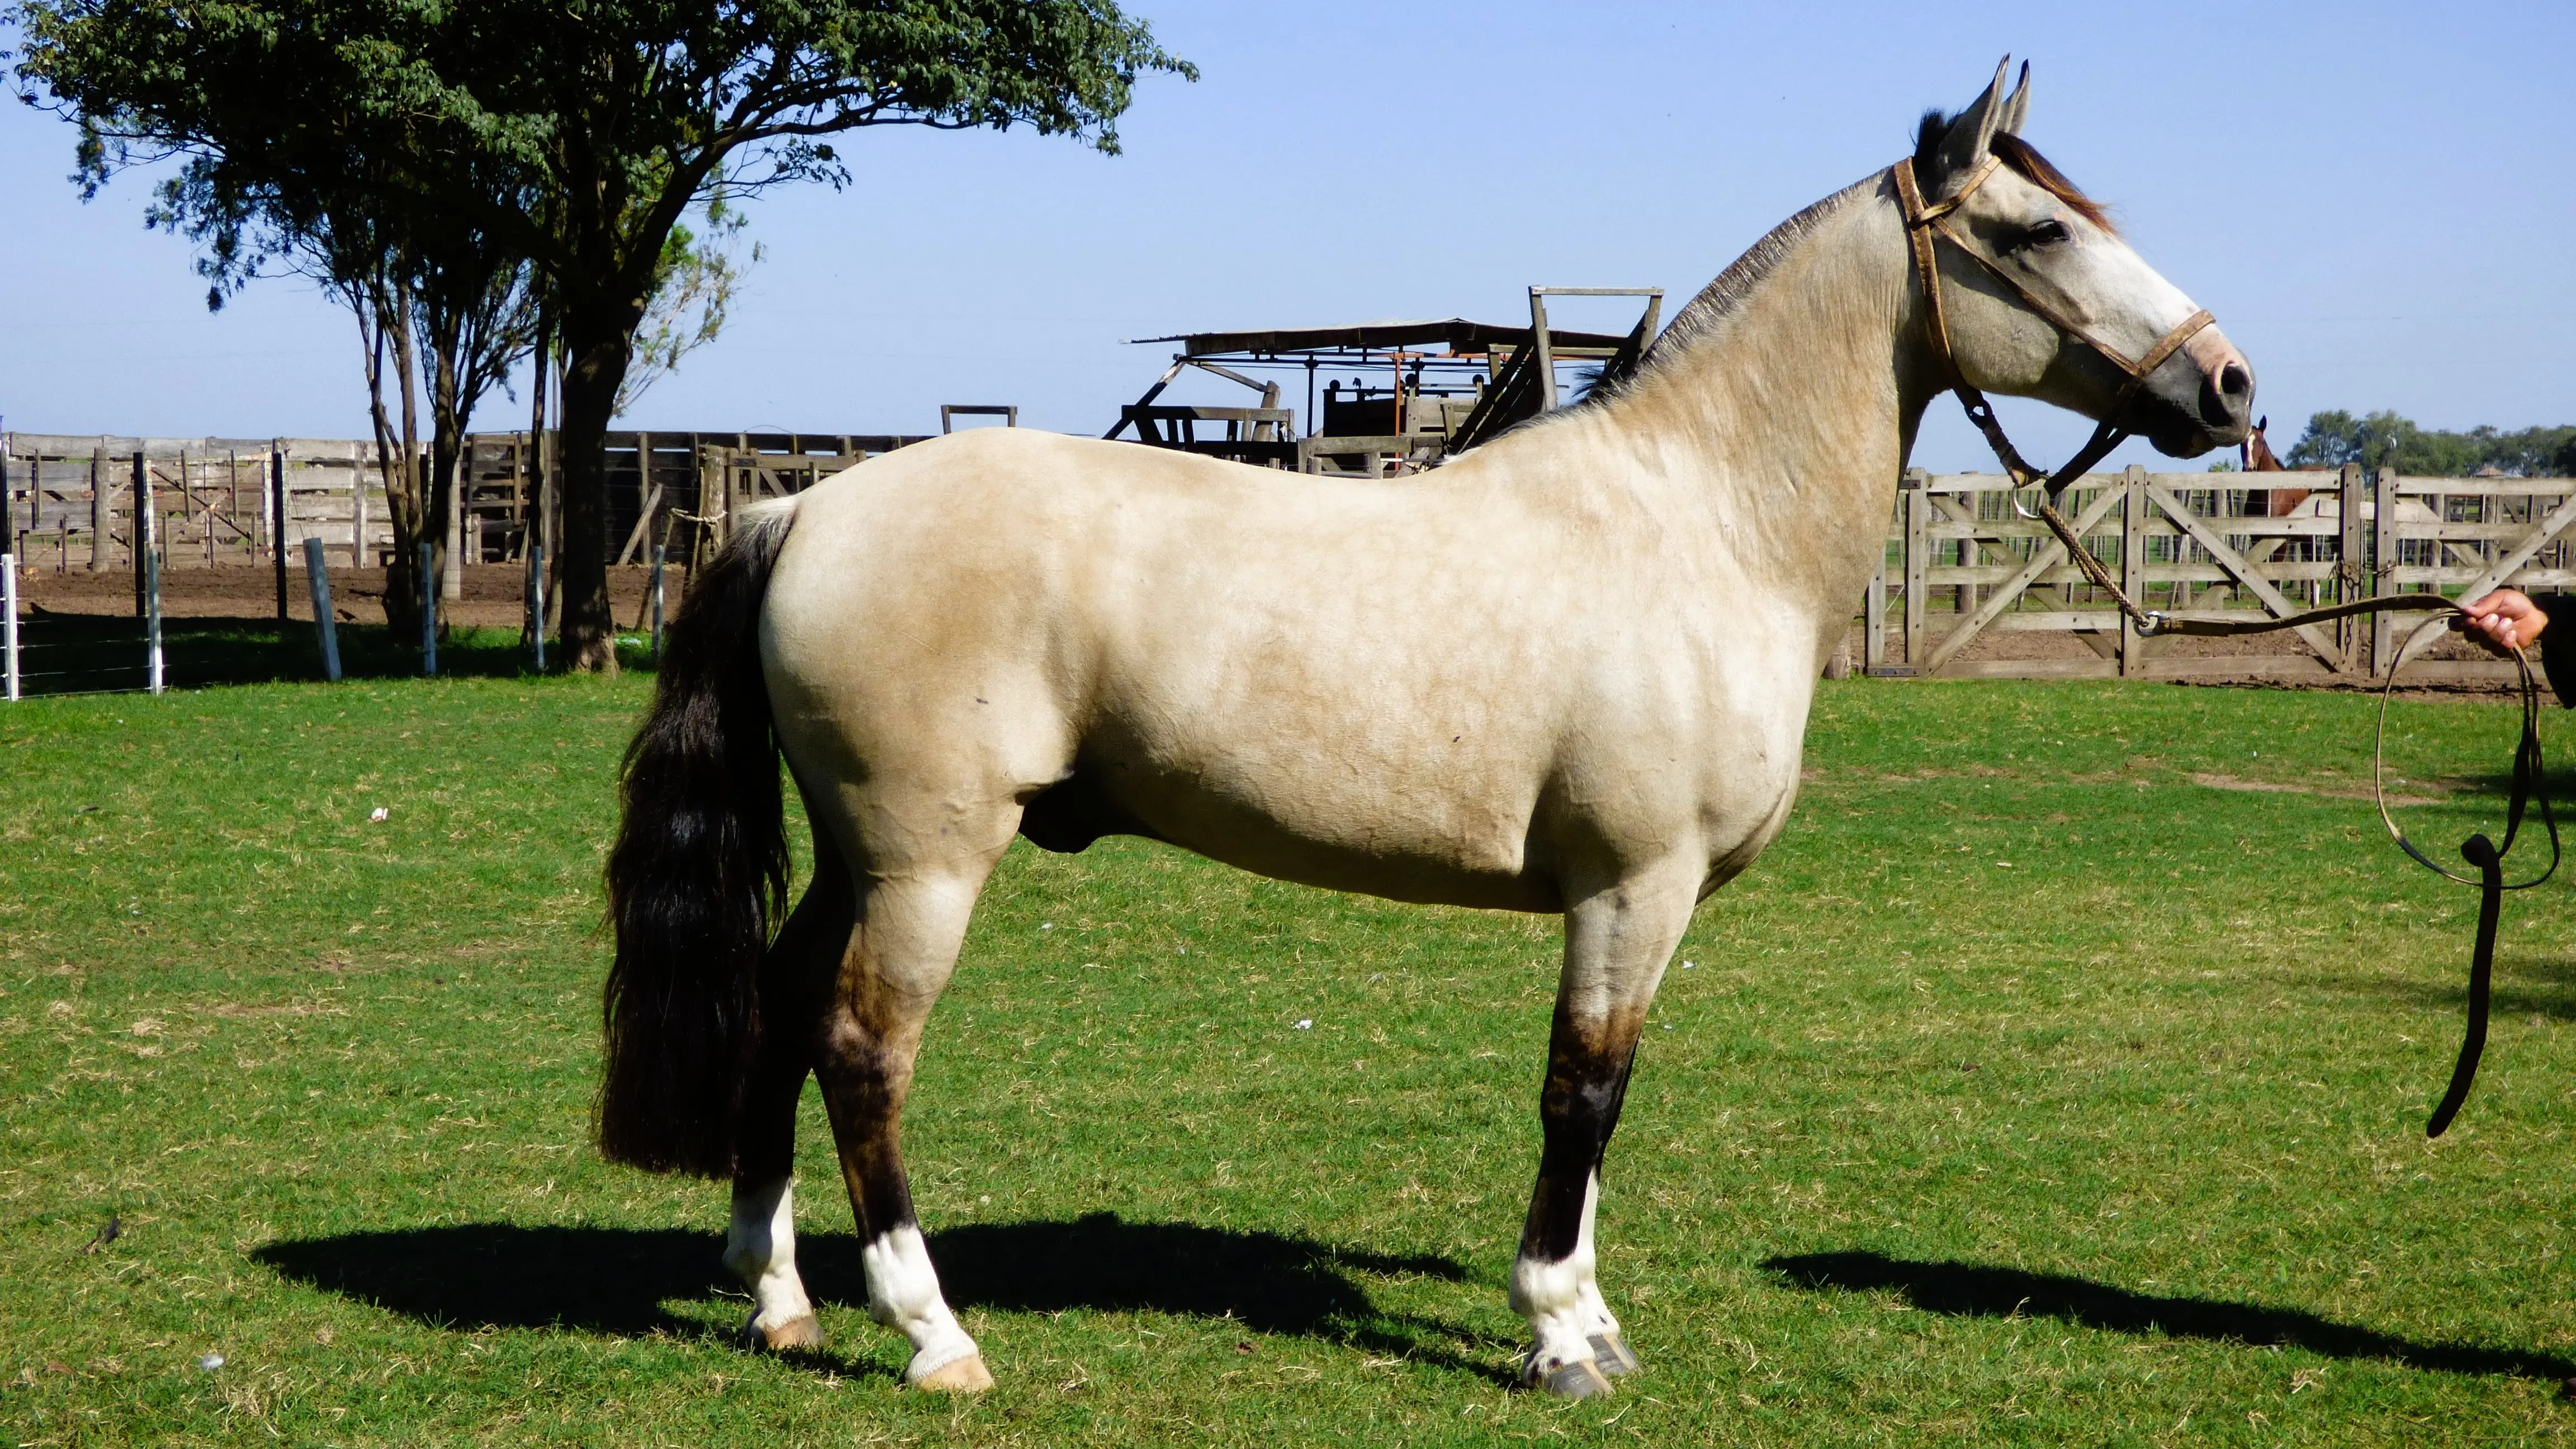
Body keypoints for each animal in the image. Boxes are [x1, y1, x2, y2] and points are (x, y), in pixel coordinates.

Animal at [597, 58, 2255, 1399]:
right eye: (2036, 234)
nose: (2227, 382)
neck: (1700, 523)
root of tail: (804, 506)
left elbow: (1598, 1101)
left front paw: (1584, 1321)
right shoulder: (1631, 889)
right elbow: (1583, 1094)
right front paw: (1561, 1333)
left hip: (856, 854)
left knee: (780, 1016)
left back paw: (779, 1299)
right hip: (929, 861)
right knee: (863, 1049)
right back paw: (931, 1332)